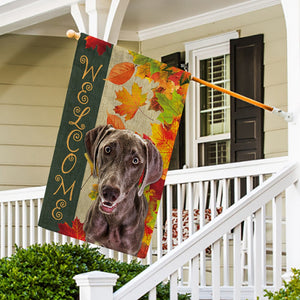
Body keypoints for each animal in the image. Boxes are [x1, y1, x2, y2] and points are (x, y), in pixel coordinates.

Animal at [83, 125, 163, 255]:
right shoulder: (91, 237)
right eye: (108, 149)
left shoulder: (131, 250)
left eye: (135, 160)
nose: (109, 192)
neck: (114, 220)